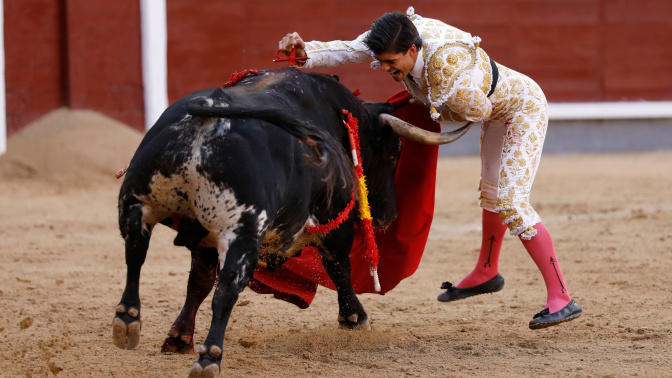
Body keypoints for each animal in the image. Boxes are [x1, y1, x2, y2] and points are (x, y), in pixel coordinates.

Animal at [111, 67, 468, 376]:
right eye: (394, 152)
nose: (389, 215)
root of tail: (207, 120)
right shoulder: (334, 222)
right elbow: (339, 268)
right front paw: (355, 318)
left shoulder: (204, 237)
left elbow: (197, 282)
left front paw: (178, 338)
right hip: (242, 229)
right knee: (227, 288)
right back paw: (209, 358)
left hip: (137, 204)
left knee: (135, 255)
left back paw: (127, 321)